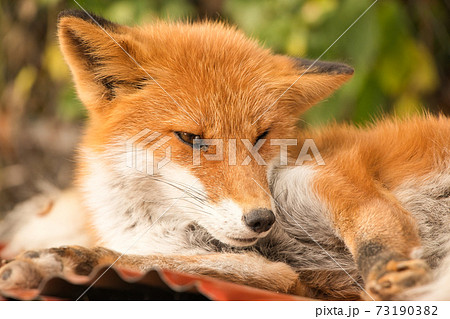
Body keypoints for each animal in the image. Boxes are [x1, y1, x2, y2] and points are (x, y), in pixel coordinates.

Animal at [0, 8, 448, 302]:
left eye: (261, 136)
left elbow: (375, 227)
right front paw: (61, 261)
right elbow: (147, 262)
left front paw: (390, 267)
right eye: (190, 137)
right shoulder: (280, 274)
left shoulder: (324, 177)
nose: (262, 219)